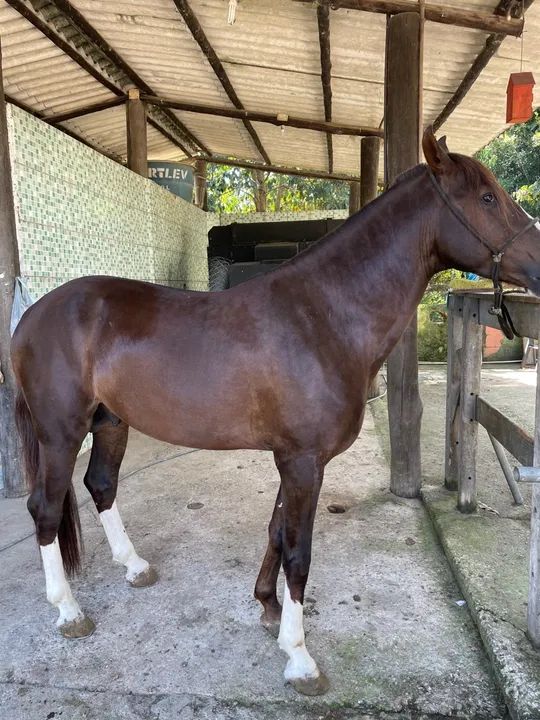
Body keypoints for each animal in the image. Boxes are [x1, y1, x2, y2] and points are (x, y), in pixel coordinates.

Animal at [11, 127, 540, 696]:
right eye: (486, 198)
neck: (322, 317)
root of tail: (31, 317)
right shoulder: (304, 462)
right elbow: (298, 553)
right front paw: (299, 656)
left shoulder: (295, 459)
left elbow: (275, 531)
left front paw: (267, 606)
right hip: (60, 433)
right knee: (45, 508)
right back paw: (68, 611)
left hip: (110, 422)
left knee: (101, 486)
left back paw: (134, 567)